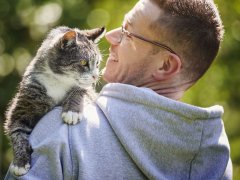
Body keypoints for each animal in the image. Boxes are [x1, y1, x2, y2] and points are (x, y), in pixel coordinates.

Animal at [3, 26, 105, 176]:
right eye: (83, 62)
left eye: (97, 63)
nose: (95, 76)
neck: (58, 81)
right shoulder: (21, 109)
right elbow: (17, 133)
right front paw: (20, 163)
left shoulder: (89, 92)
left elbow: (81, 90)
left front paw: (71, 112)